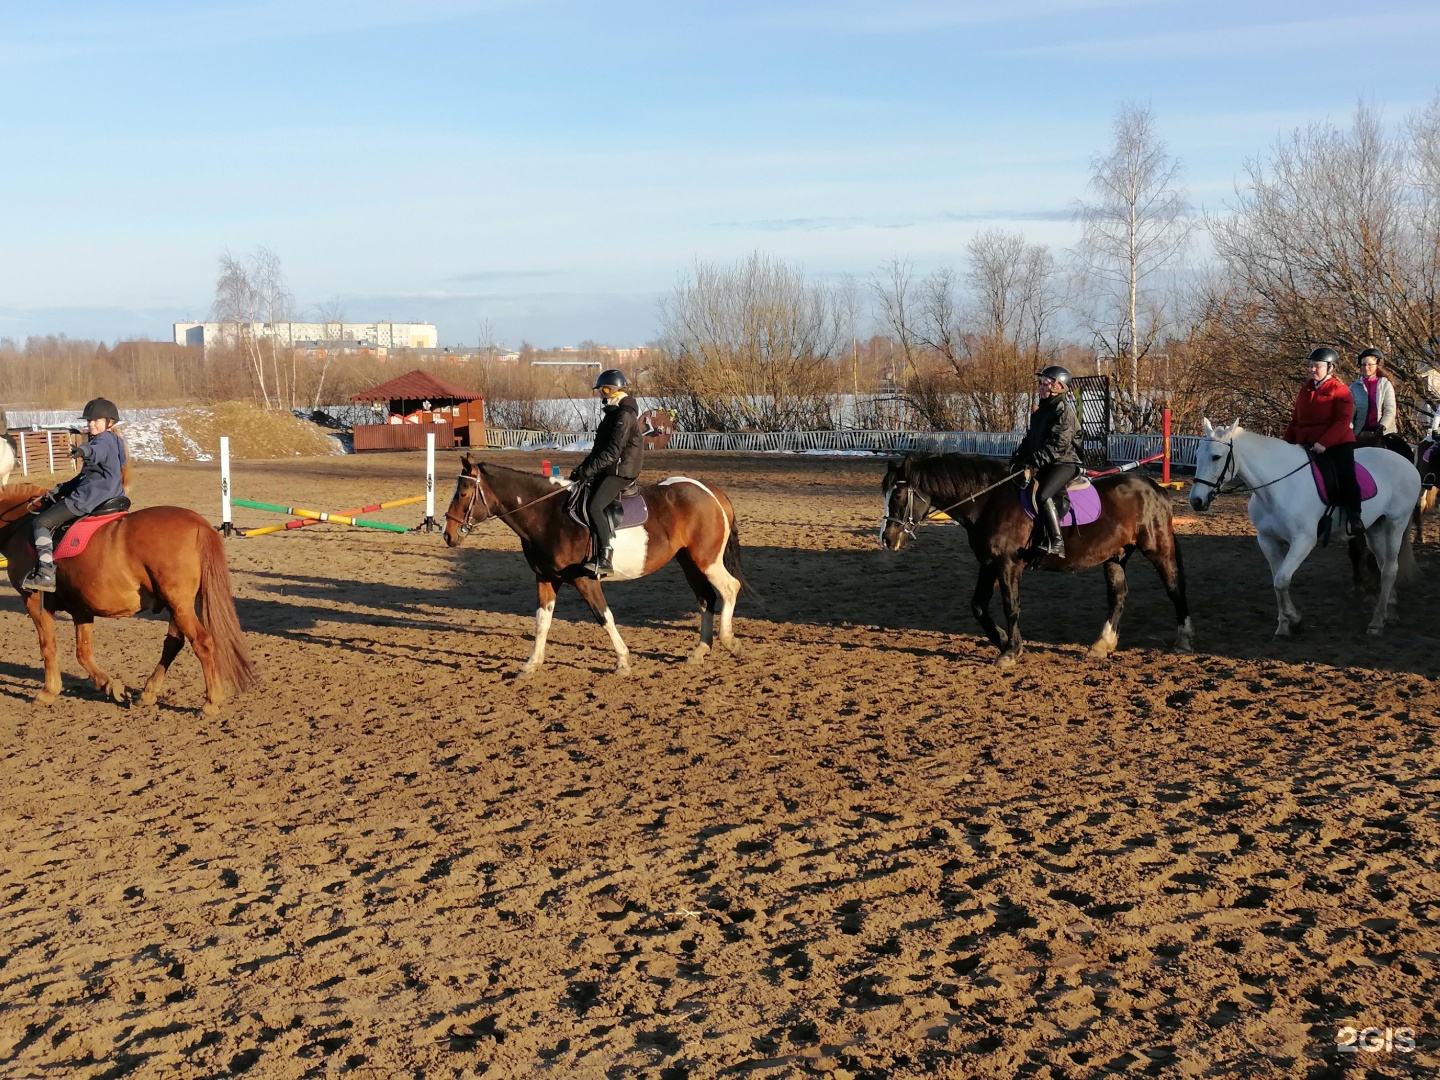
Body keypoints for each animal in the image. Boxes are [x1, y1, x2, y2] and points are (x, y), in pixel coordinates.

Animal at [0, 486, 253, 714]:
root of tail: (198, 523)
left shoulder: (34, 603)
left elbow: (48, 647)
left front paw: (48, 692)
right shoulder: (82, 608)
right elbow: (83, 652)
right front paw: (110, 686)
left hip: (180, 605)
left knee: (202, 642)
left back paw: (210, 702)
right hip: (177, 606)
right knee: (173, 644)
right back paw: (147, 693)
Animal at [443, 457, 748, 676]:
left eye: (464, 493)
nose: (448, 534)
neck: (549, 514)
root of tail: (710, 492)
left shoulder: (584, 579)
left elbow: (604, 617)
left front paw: (623, 662)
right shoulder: (545, 578)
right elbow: (542, 622)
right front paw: (531, 664)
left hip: (706, 560)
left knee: (730, 588)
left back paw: (730, 640)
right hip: (689, 561)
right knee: (706, 598)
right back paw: (700, 651)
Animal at [875, 455, 1192, 668]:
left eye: (899, 494)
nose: (887, 539)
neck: (988, 503)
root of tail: (1155, 488)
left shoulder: (1007, 564)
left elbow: (1011, 605)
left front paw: (1010, 651)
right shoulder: (988, 564)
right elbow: (978, 606)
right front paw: (1003, 639)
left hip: (1158, 548)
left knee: (1175, 589)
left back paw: (1184, 641)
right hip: (1115, 555)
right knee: (1118, 595)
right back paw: (1102, 644)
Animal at [1192, 417, 1416, 639]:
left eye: (1216, 457)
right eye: (1197, 455)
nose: (1196, 501)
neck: (1277, 487)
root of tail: (1405, 462)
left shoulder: (1303, 541)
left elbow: (1282, 580)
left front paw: (1295, 620)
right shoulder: (1267, 541)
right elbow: (1276, 581)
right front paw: (1283, 626)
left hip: (1396, 523)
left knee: (1389, 569)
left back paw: (1377, 622)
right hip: (1373, 528)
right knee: (1384, 565)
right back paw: (1389, 611)